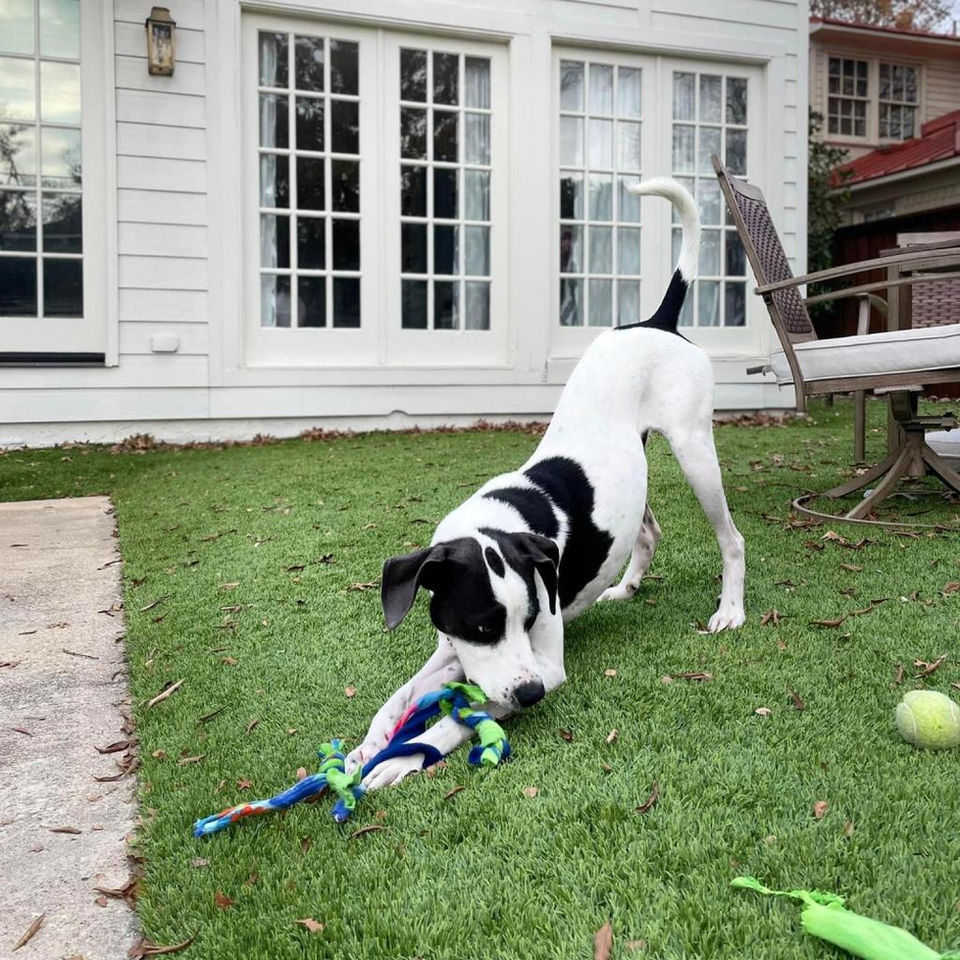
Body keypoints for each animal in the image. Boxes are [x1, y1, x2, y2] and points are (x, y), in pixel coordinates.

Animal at [347, 178, 746, 791]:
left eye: (531, 618)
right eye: (481, 626)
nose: (531, 694)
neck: (498, 519)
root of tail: (658, 321)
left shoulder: (546, 664)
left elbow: (461, 716)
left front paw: (408, 755)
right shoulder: (454, 648)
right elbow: (396, 698)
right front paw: (368, 746)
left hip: (695, 449)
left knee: (732, 538)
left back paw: (730, 610)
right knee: (648, 530)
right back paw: (624, 587)